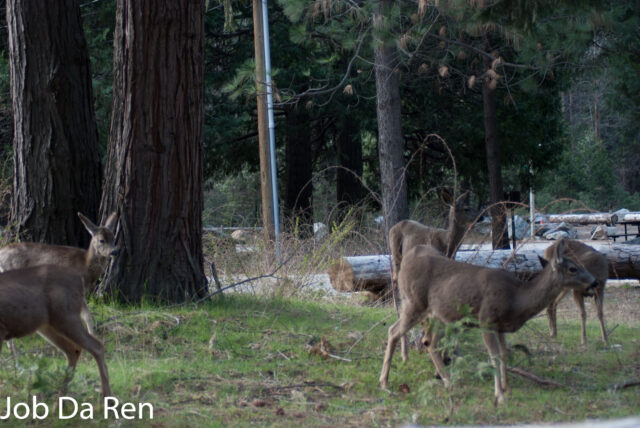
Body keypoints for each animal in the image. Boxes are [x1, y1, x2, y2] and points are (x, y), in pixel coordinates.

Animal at [0, 264, 111, 397]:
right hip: (47, 325)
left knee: (96, 345)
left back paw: (106, 394)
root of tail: (80, 280)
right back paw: (61, 391)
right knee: (73, 349)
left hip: (66, 315)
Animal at [379, 238, 597, 404]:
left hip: (437, 315)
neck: (516, 298)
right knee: (393, 331)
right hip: (415, 302)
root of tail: (406, 260)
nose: (594, 281)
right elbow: (494, 356)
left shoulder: (500, 327)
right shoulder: (486, 320)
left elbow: (504, 354)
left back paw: (447, 381)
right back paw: (385, 382)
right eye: (573, 268)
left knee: (428, 341)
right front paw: (499, 395)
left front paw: (507, 388)